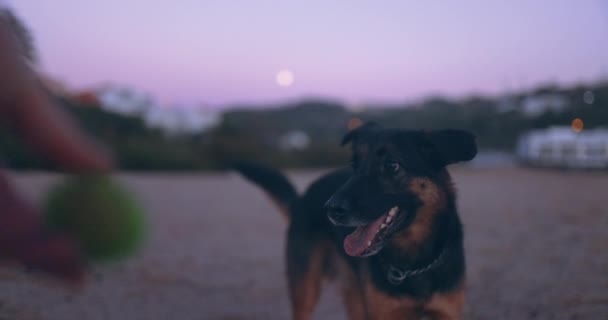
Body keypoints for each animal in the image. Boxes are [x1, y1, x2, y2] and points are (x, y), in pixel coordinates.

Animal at [235, 121, 478, 318]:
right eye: (354, 166)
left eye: (391, 165)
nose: (330, 209)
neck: (414, 262)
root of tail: (302, 199)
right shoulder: (384, 314)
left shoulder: (446, 313)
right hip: (306, 293)